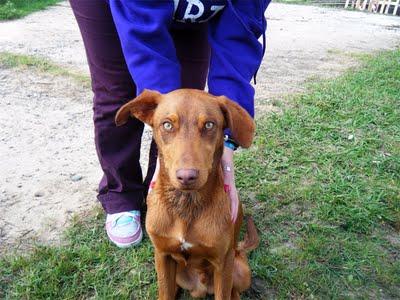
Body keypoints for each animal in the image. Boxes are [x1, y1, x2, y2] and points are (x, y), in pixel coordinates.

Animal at [115, 88, 260, 298]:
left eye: (209, 124)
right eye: (167, 125)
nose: (186, 176)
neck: (186, 204)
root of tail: (200, 288)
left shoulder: (223, 262)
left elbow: (223, 293)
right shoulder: (162, 255)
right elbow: (165, 293)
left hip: (240, 269)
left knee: (234, 292)